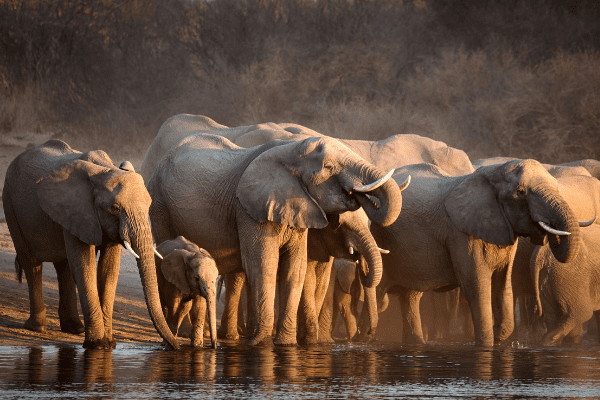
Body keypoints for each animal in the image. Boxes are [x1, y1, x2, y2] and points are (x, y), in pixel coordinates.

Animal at [2, 139, 180, 348]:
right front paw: (98, 344)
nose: (175, 347)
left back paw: (74, 328)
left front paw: (109, 343)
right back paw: (37, 328)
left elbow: (108, 269)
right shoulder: (75, 208)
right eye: (115, 208)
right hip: (10, 203)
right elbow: (84, 265)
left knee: (64, 267)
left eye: (148, 206)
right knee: (32, 264)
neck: (104, 170)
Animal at [144, 133, 404, 346]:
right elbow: (264, 265)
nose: (360, 194)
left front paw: (286, 344)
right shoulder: (249, 209)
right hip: (160, 205)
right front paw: (261, 344)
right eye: (329, 167)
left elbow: (294, 269)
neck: (291, 150)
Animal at [372, 159, 584, 346]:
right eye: (520, 192)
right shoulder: (460, 234)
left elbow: (503, 284)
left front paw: (500, 335)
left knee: (410, 296)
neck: (494, 172)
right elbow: (477, 286)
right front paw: (487, 343)